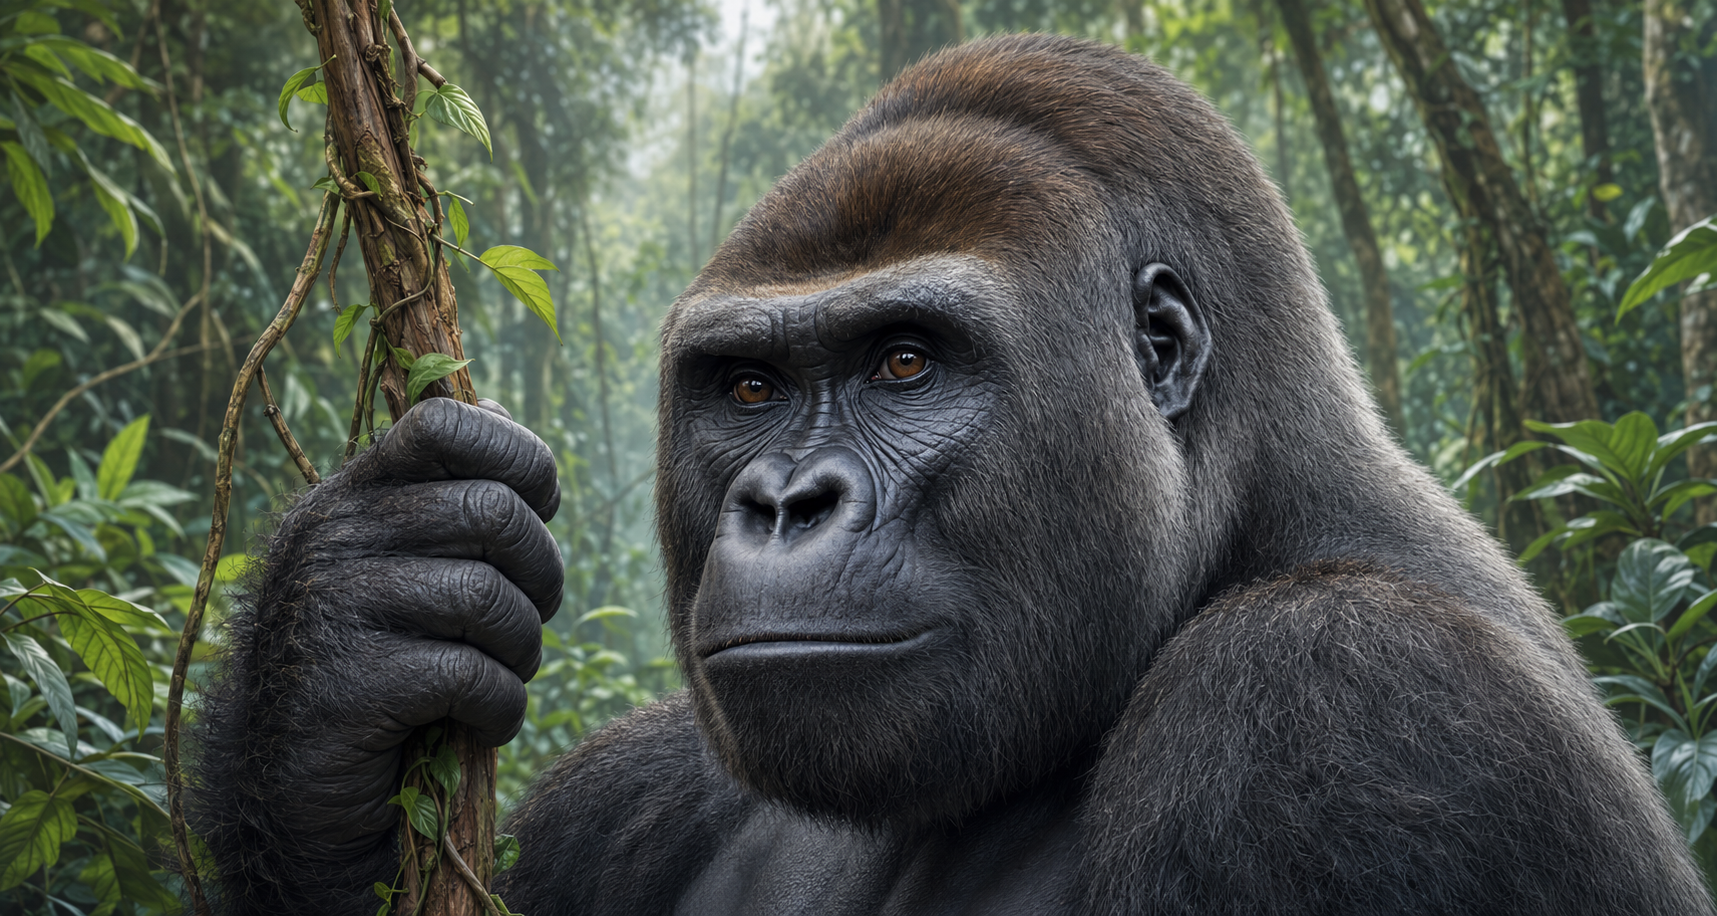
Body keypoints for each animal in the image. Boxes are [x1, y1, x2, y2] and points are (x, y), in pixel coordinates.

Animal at [191, 34, 1713, 915]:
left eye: (907, 365)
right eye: (749, 389)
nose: (784, 504)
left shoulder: (1341, 701)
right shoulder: (643, 783)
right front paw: (343, 642)